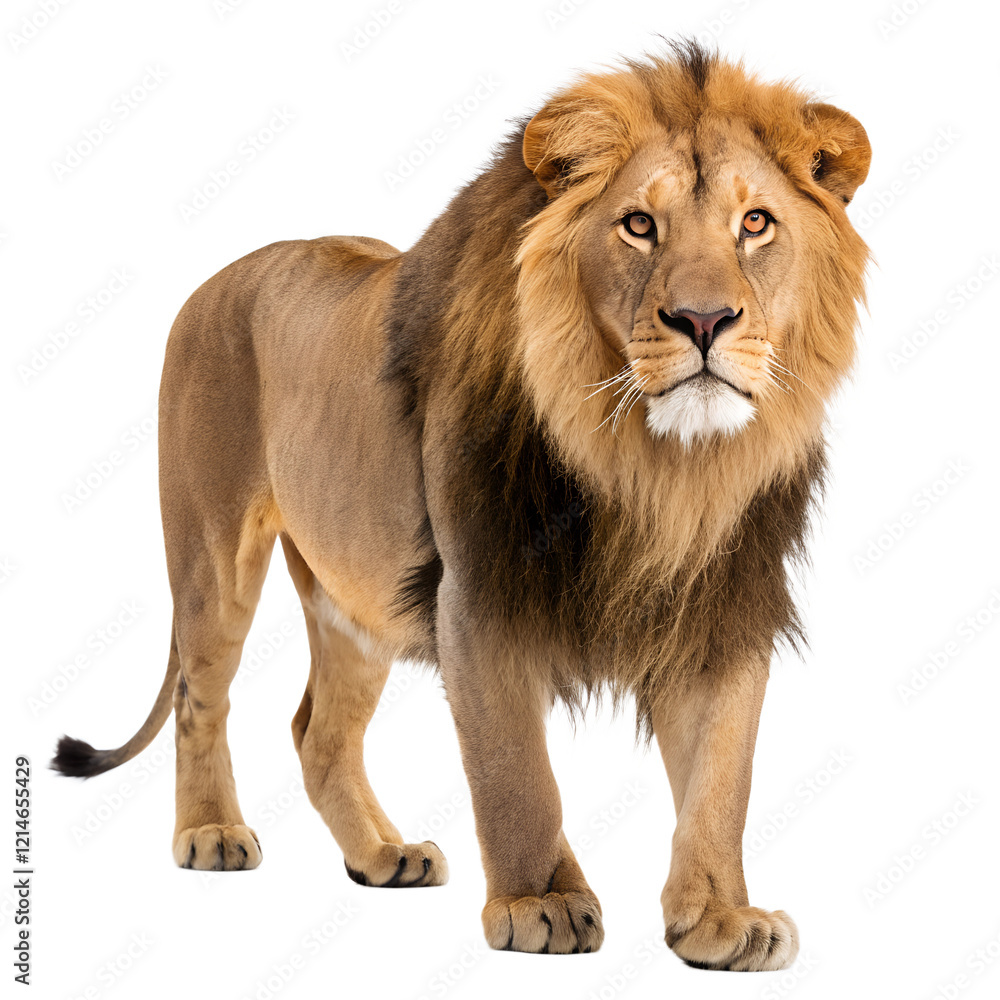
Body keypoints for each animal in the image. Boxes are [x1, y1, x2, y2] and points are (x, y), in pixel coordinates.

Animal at [52, 41, 870, 970]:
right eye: (638, 225)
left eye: (756, 223)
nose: (704, 320)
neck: (657, 468)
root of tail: (211, 282)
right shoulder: (476, 593)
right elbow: (516, 773)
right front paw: (540, 902)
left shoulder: (725, 603)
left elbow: (721, 779)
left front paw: (722, 918)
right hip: (213, 555)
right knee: (201, 697)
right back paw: (212, 833)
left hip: (353, 598)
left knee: (318, 732)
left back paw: (383, 855)